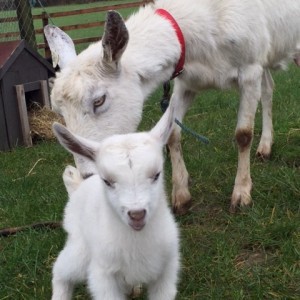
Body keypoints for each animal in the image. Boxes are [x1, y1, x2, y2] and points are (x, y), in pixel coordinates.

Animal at [44, 0, 300, 213]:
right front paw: (181, 196)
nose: (88, 175)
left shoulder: (249, 70)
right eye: (59, 112)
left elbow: (243, 134)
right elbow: (173, 133)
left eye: (99, 100)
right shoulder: (187, 82)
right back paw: (265, 147)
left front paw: (241, 194)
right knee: (268, 90)